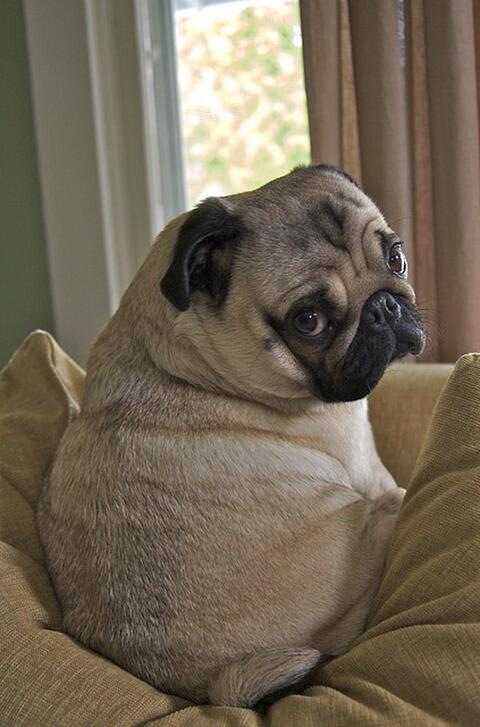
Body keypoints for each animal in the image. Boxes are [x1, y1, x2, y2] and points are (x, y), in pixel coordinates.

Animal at [37, 164, 425, 708]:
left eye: (397, 258)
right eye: (309, 321)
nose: (385, 306)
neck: (189, 365)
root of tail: (211, 684)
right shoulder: (366, 466)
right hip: (385, 514)